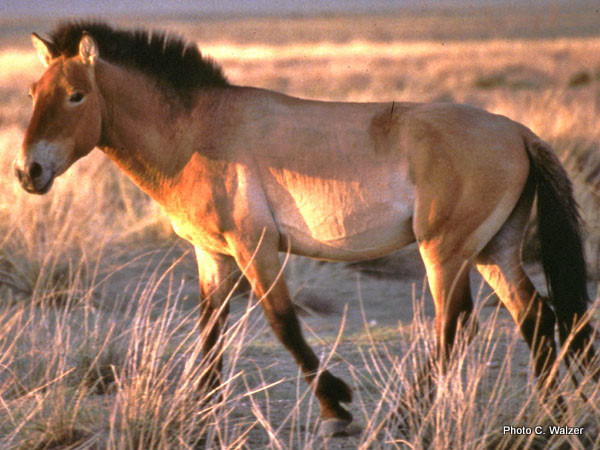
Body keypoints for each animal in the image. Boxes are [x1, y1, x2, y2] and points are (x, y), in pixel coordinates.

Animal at [12, 22, 596, 436]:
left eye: (76, 96)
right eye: (33, 93)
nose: (27, 172)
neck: (197, 133)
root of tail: (518, 133)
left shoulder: (256, 247)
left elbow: (283, 325)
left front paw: (336, 407)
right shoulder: (212, 256)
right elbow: (210, 333)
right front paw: (200, 412)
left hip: (446, 253)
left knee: (456, 327)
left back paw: (405, 416)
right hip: (493, 251)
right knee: (536, 319)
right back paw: (552, 417)